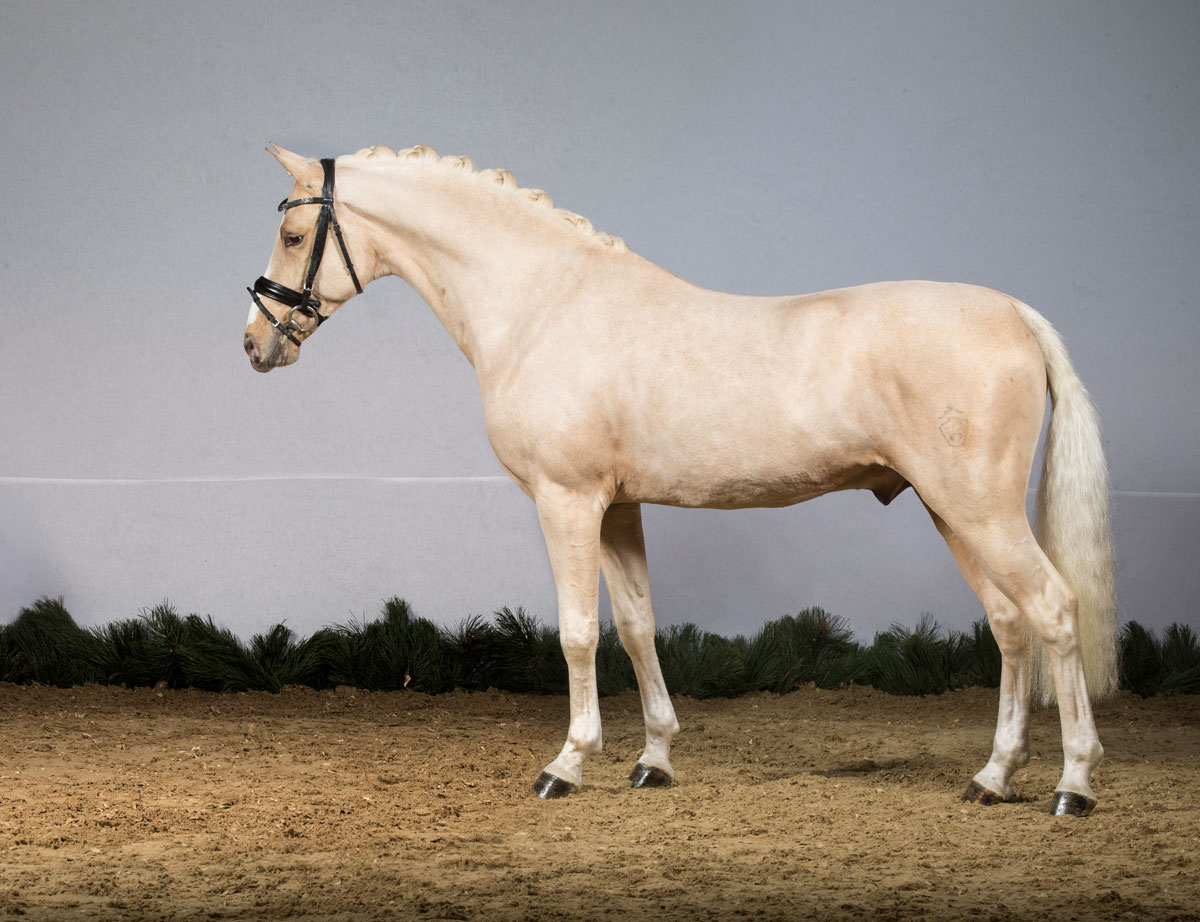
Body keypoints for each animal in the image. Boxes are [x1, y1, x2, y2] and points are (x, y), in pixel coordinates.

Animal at [243, 143, 1117, 816]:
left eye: (292, 233)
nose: (257, 342)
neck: (545, 305)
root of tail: (1012, 311)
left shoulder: (567, 501)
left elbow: (576, 632)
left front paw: (567, 764)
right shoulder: (618, 508)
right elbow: (636, 625)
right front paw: (653, 759)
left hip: (980, 510)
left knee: (1053, 610)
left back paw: (1072, 784)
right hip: (953, 512)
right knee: (1009, 624)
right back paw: (993, 777)